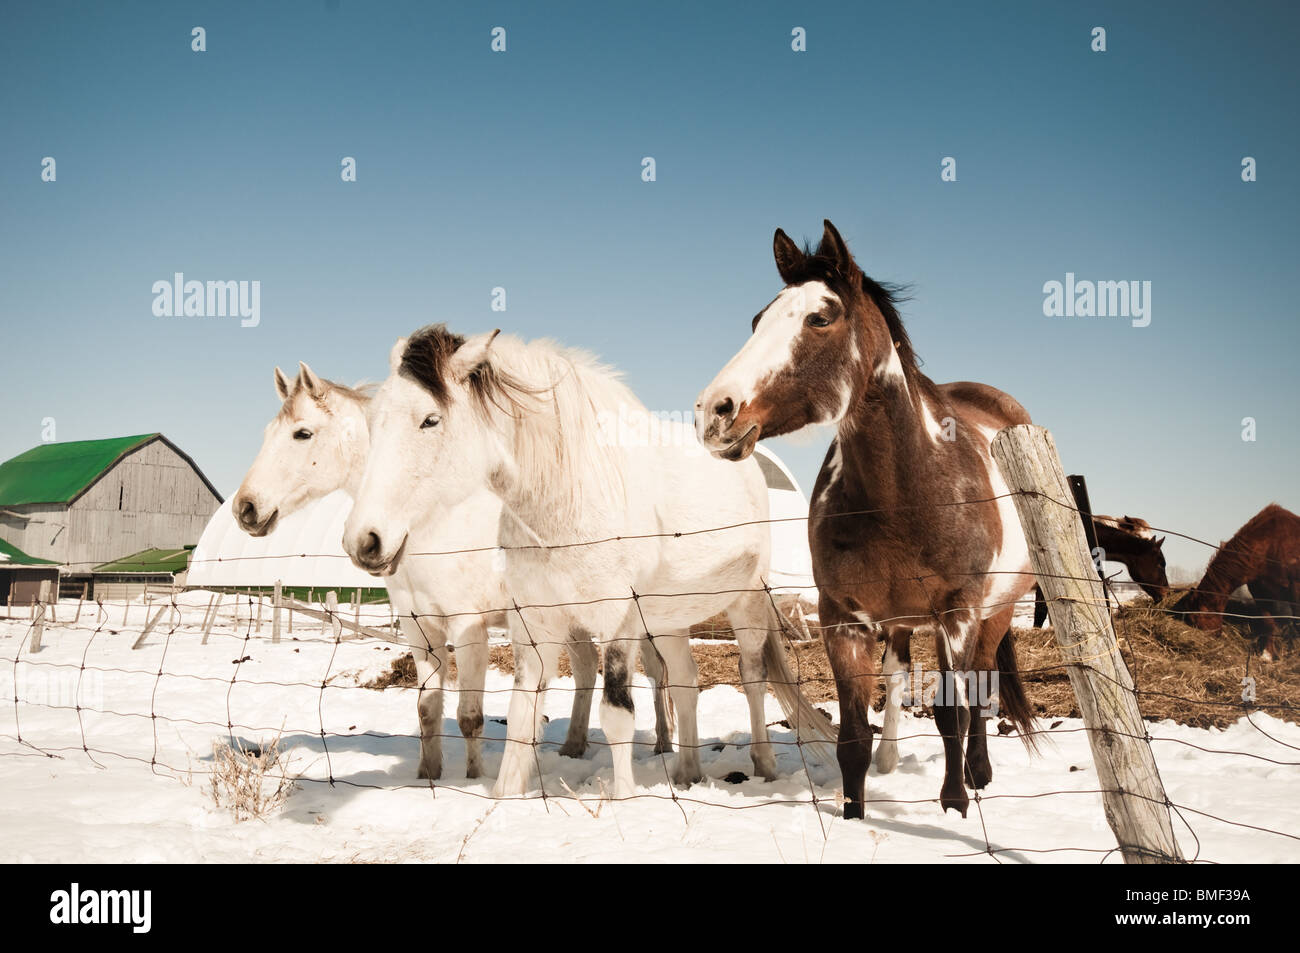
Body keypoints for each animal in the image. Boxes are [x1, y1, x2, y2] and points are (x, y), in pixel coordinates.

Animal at [231, 362, 602, 779]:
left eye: (302, 433)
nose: (245, 508)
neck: (428, 521)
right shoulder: (419, 628)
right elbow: (427, 710)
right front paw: (428, 776)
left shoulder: (468, 628)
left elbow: (469, 717)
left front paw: (474, 779)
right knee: (587, 666)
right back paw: (573, 748)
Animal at [342, 326, 836, 799]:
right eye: (373, 421)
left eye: (430, 419)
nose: (363, 540)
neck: (568, 495)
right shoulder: (534, 624)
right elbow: (522, 712)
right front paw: (504, 796)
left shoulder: (615, 619)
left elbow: (616, 713)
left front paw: (623, 800)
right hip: (667, 620)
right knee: (685, 681)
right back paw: (687, 773)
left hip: (745, 602)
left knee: (752, 678)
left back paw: (765, 767)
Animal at [695, 219, 1039, 819]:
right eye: (758, 320)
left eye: (820, 317)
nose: (714, 412)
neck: (907, 491)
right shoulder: (843, 618)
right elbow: (853, 732)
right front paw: (855, 811)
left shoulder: (957, 614)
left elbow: (953, 712)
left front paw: (954, 805)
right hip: (902, 619)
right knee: (899, 673)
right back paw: (893, 759)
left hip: (995, 612)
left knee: (979, 685)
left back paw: (979, 773)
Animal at [1175, 503, 1300, 661]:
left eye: (1194, 620)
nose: (1212, 639)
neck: (1271, 544)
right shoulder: (1259, 590)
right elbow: (1268, 622)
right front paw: (1266, 655)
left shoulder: (1295, 587)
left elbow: (1297, 623)